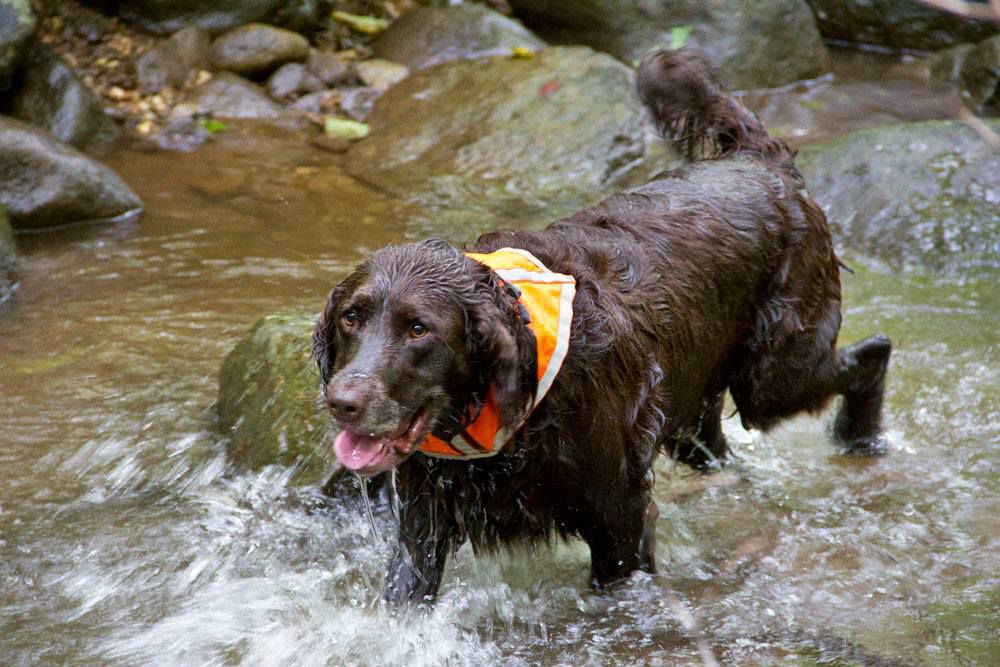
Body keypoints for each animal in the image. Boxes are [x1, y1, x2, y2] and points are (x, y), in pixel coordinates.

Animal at [312, 49, 892, 608]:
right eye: (351, 317)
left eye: (419, 329)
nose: (343, 402)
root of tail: (758, 159)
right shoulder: (424, 520)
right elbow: (406, 594)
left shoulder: (619, 514)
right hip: (694, 407)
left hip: (771, 377)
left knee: (873, 352)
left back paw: (860, 437)